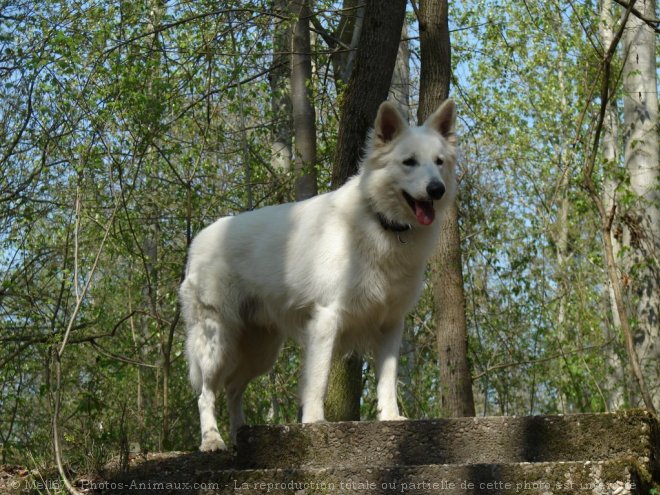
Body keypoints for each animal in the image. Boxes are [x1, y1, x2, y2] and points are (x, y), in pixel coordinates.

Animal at [180, 99, 458, 452]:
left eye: (439, 162)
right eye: (409, 162)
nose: (437, 189)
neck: (381, 223)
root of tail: (198, 240)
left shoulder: (390, 324)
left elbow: (388, 380)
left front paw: (391, 418)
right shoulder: (327, 319)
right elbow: (319, 377)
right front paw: (314, 423)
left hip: (261, 351)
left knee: (232, 389)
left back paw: (242, 434)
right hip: (218, 343)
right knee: (206, 394)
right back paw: (212, 440)